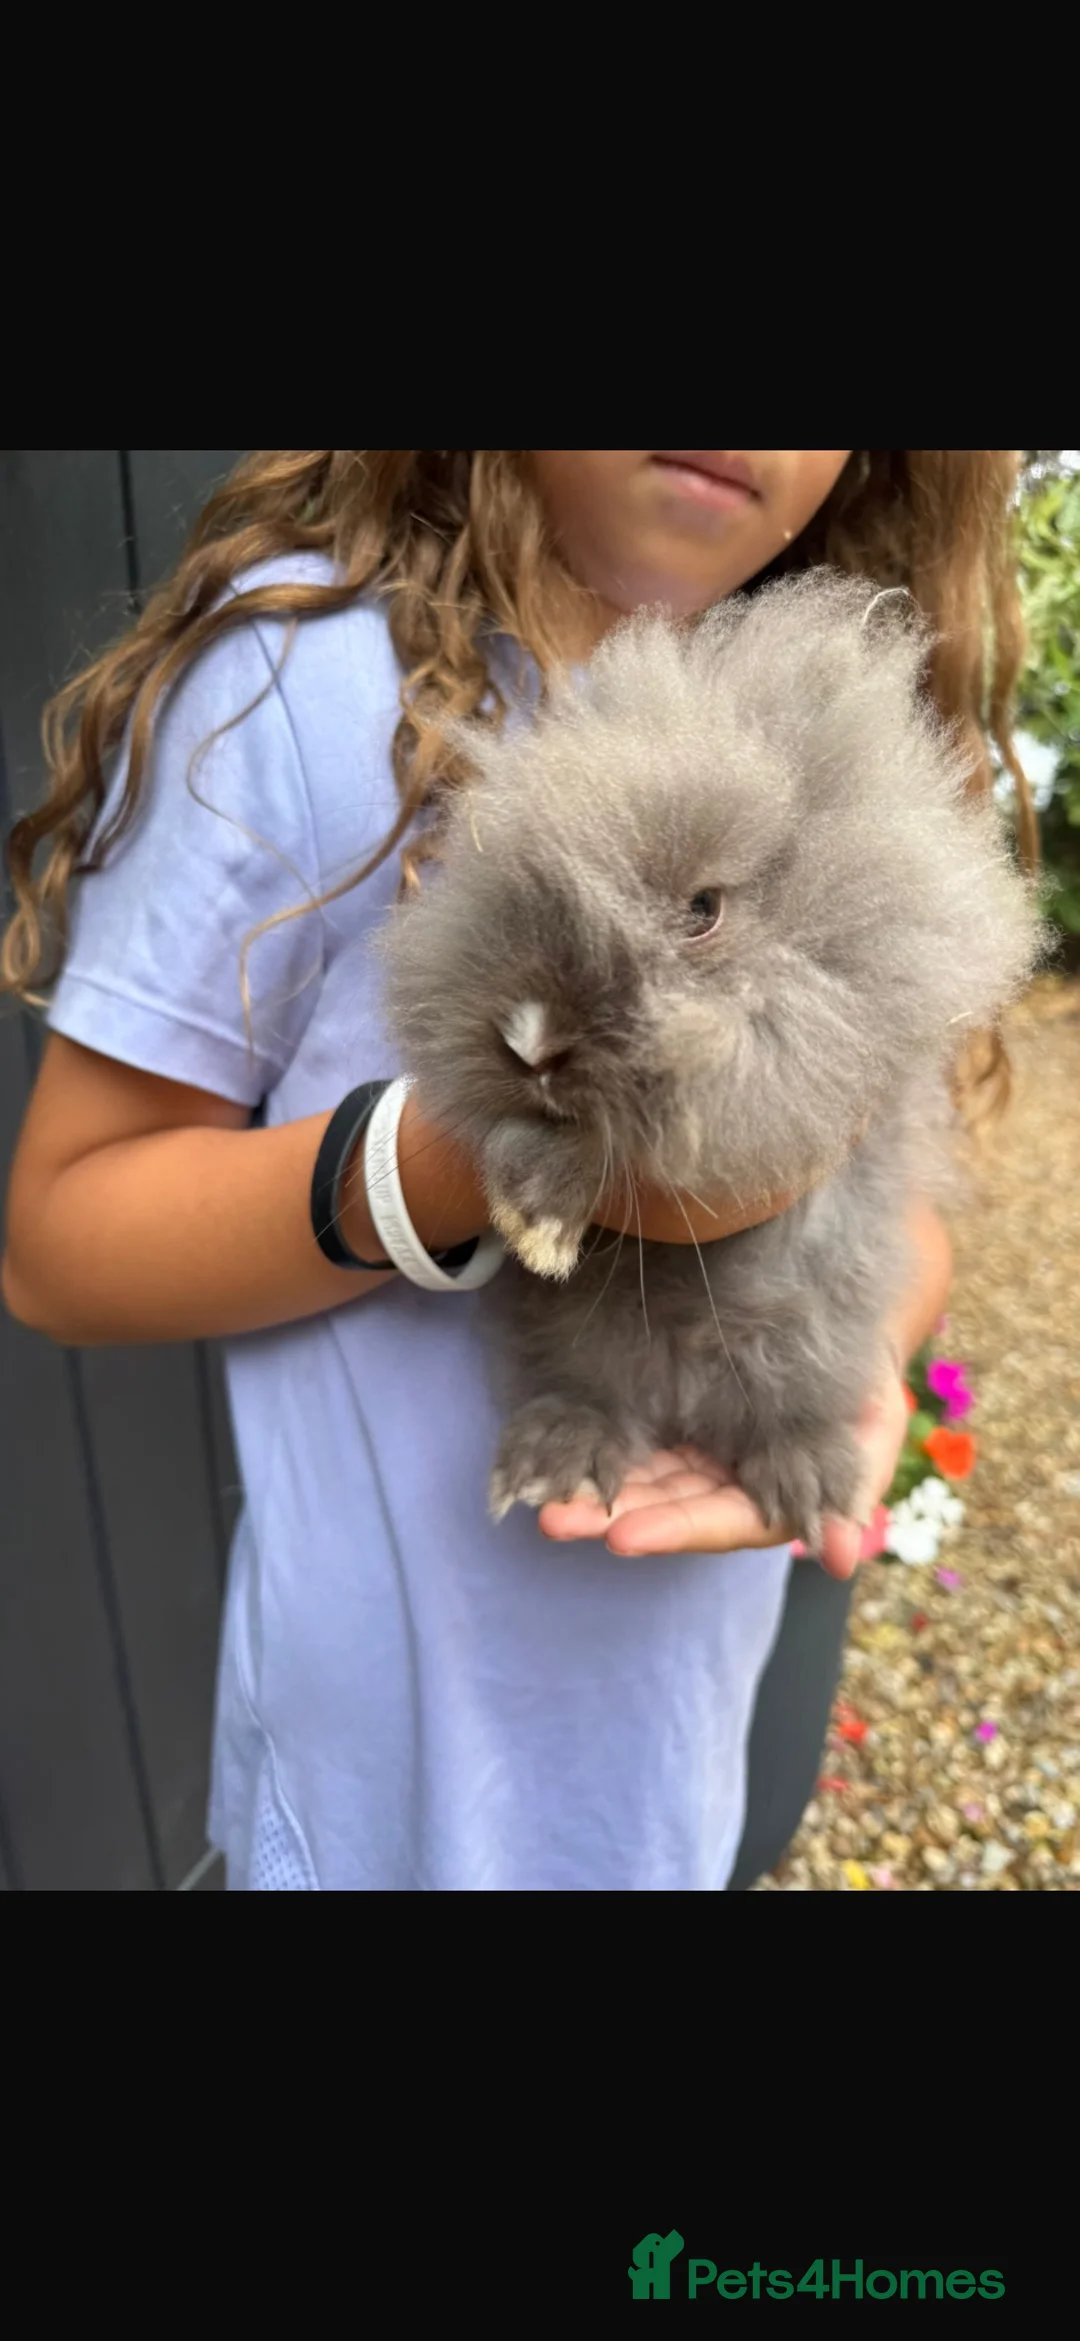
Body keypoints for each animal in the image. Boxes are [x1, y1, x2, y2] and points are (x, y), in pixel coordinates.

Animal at [379, 569, 1043, 1551]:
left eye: (701, 911)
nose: (529, 1037)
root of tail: (682, 1398)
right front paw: (533, 1210)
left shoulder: (790, 1065)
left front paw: (543, 1206)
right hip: (586, 1345)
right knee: (595, 1396)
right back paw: (560, 1458)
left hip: (814, 1338)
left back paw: (806, 1479)